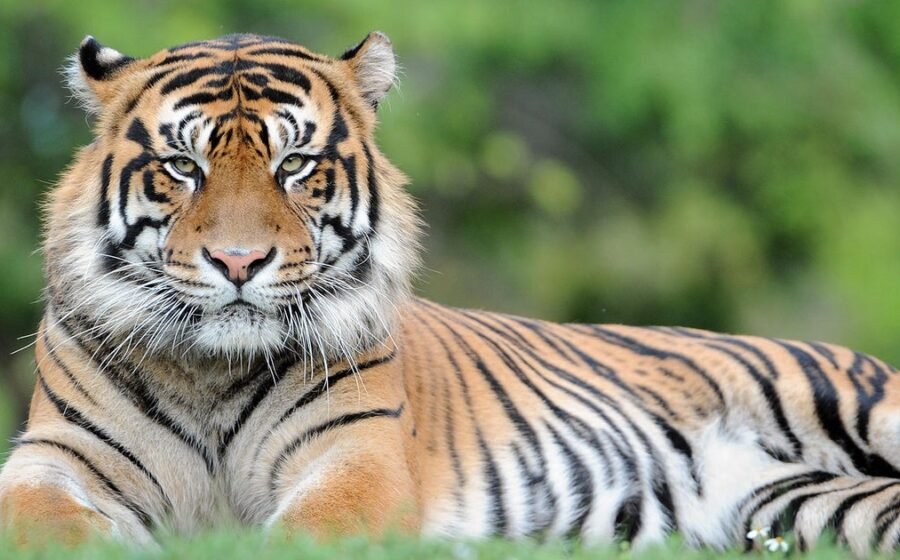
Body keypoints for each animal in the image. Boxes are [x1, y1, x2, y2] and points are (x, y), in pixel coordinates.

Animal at [1, 31, 900, 556]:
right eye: (182, 166)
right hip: (806, 508)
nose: (238, 260)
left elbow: (301, 532)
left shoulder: (357, 458)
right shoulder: (53, 456)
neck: (212, 371)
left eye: (295, 164)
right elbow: (43, 524)